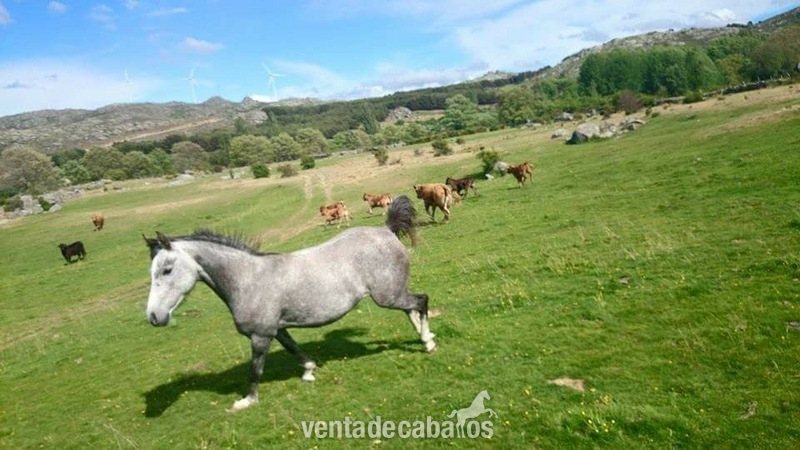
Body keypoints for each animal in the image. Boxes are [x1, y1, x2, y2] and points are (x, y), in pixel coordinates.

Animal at [142, 195, 435, 412]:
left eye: (167, 270)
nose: (154, 317)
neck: (248, 278)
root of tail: (386, 230)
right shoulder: (277, 329)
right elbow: (294, 349)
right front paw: (309, 371)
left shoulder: (260, 335)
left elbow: (255, 369)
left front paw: (246, 401)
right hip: (393, 293)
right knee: (411, 308)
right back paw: (425, 336)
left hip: (387, 296)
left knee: (421, 301)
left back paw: (428, 343)